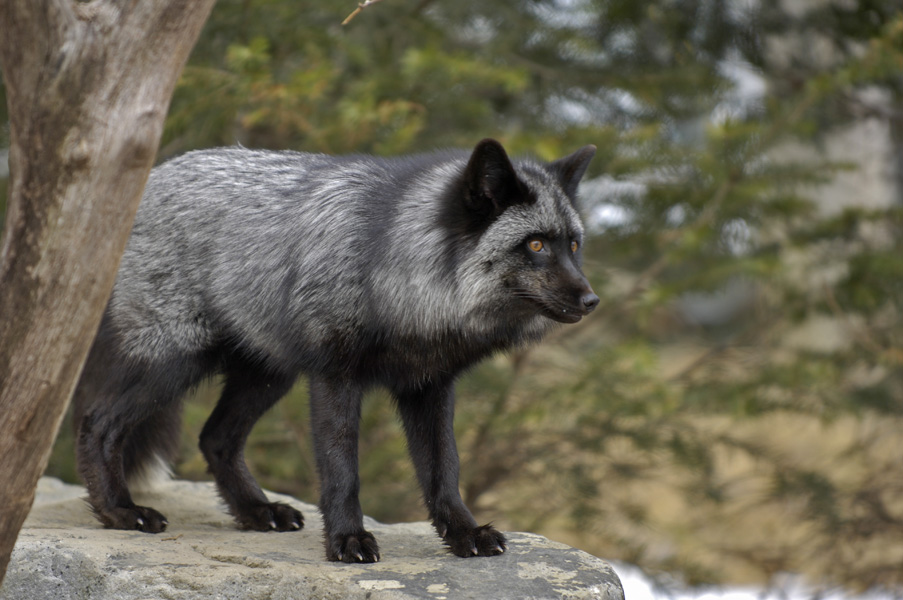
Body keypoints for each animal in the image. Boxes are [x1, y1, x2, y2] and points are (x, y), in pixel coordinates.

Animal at [73, 138, 598, 563]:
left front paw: (464, 534)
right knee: (96, 423)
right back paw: (119, 511)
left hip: (268, 374)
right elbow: (342, 472)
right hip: (173, 361)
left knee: (215, 438)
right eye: (535, 245)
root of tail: (156, 174)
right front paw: (347, 540)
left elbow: (444, 470)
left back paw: (256, 511)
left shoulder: (429, 385)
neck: (395, 272)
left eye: (573, 246)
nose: (592, 301)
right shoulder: (334, 377)